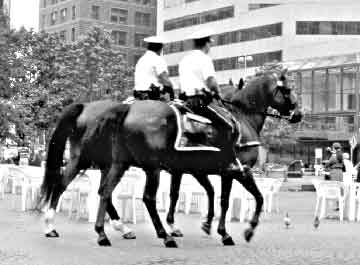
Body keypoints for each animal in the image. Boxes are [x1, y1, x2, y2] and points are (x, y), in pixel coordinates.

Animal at [39, 69, 300, 246]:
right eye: (287, 90)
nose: (298, 114)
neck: (240, 118)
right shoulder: (236, 170)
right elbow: (244, 198)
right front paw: (236, 231)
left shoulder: (192, 169)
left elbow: (193, 193)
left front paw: (201, 224)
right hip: (134, 165)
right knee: (134, 196)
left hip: (99, 161)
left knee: (85, 188)